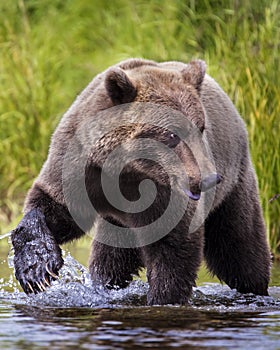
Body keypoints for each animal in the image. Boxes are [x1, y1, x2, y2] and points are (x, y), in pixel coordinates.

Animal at [11, 57, 272, 304]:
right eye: (172, 134)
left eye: (201, 127)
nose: (209, 178)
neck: (126, 172)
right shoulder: (80, 168)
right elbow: (56, 209)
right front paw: (37, 269)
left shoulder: (166, 196)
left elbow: (173, 251)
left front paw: (162, 298)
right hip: (118, 224)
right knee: (112, 258)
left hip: (235, 182)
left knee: (240, 248)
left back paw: (255, 288)